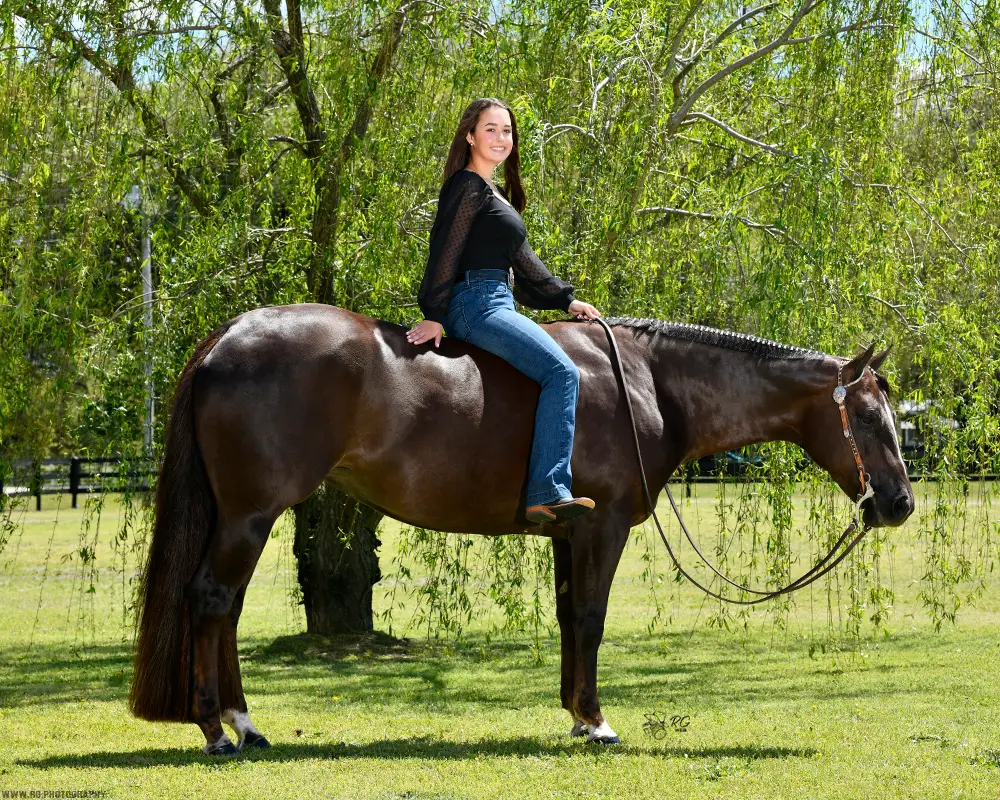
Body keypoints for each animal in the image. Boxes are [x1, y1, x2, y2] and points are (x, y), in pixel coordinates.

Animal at [127, 303, 914, 754]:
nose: (900, 503)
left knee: (224, 610)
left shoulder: (569, 535)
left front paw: (575, 716)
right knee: (210, 601)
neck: (647, 383)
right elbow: (591, 620)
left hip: (245, 517)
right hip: (251, 514)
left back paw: (244, 724)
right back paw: (216, 729)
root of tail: (229, 337)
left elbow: (570, 619)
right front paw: (597, 721)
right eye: (869, 417)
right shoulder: (602, 529)